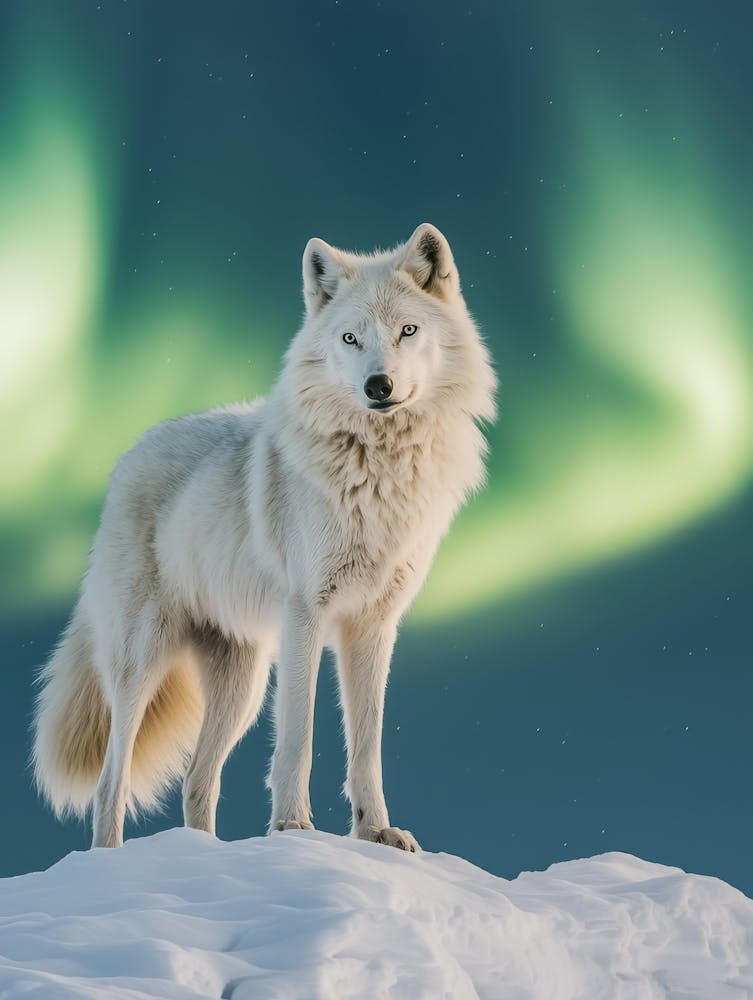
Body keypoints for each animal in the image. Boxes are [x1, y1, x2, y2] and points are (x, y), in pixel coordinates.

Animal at [32, 223, 496, 852]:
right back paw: (112, 862)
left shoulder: (374, 625)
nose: (379, 385)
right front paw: (293, 828)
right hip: (142, 664)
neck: (379, 470)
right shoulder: (306, 614)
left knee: (197, 781)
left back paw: (203, 856)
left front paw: (375, 833)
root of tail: (126, 457)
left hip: (242, 688)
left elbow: (367, 745)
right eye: (350, 338)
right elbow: (298, 736)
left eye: (407, 331)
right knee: (112, 783)